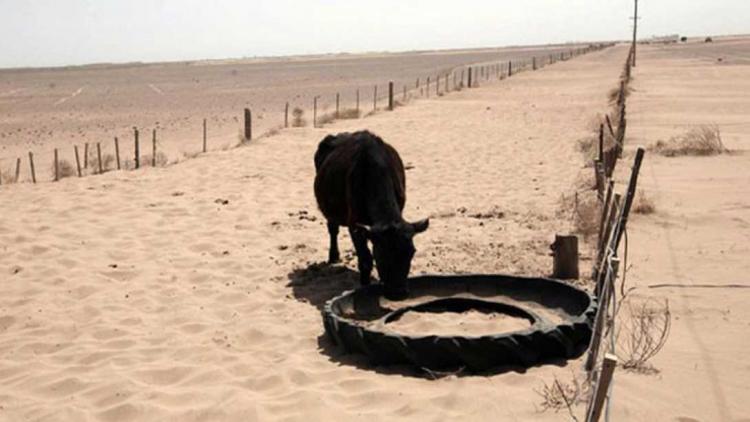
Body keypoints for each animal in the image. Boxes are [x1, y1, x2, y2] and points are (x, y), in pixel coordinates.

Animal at [312, 130, 428, 298]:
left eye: (412, 252)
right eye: (380, 255)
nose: (398, 293)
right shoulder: (354, 225)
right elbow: (365, 260)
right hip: (329, 209)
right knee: (333, 229)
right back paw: (333, 256)